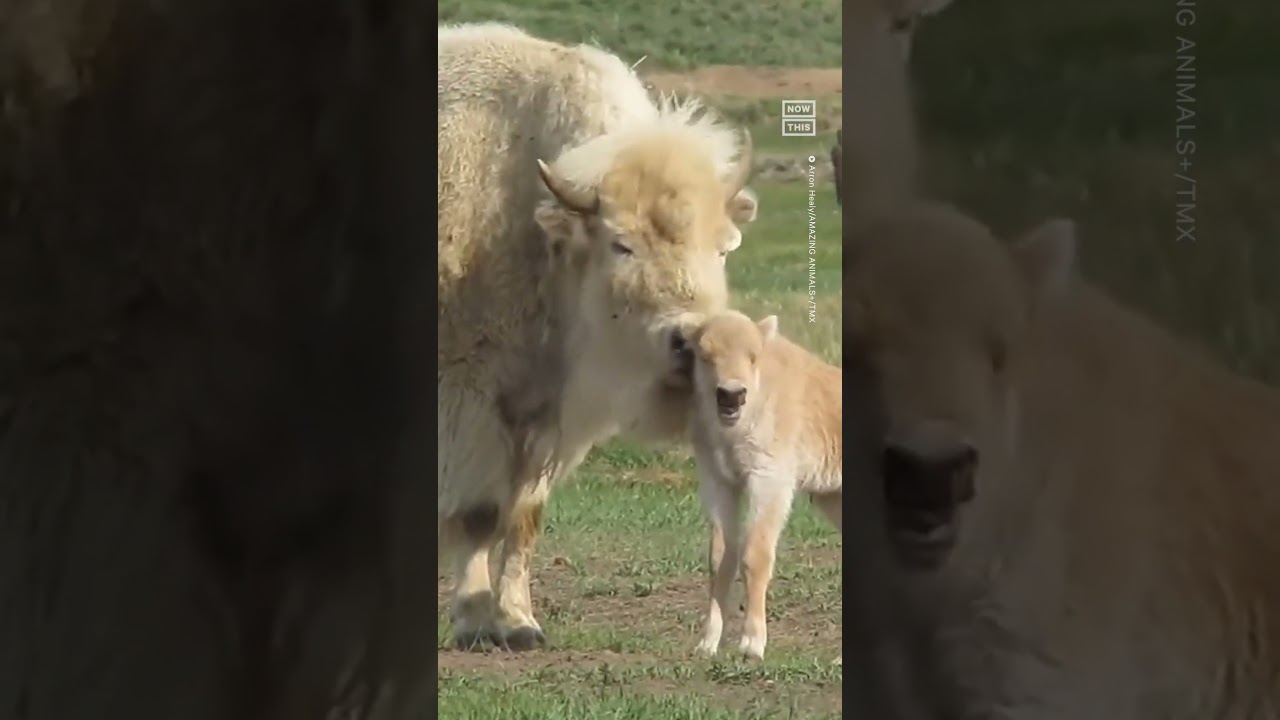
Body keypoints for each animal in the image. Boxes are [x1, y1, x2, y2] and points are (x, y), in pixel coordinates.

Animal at [437, 22, 759, 651]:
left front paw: (518, 620)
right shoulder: (473, 397)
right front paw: (474, 618)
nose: (691, 344)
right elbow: (479, 512)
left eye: (721, 247)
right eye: (621, 243)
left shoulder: (547, 414)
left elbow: (524, 515)